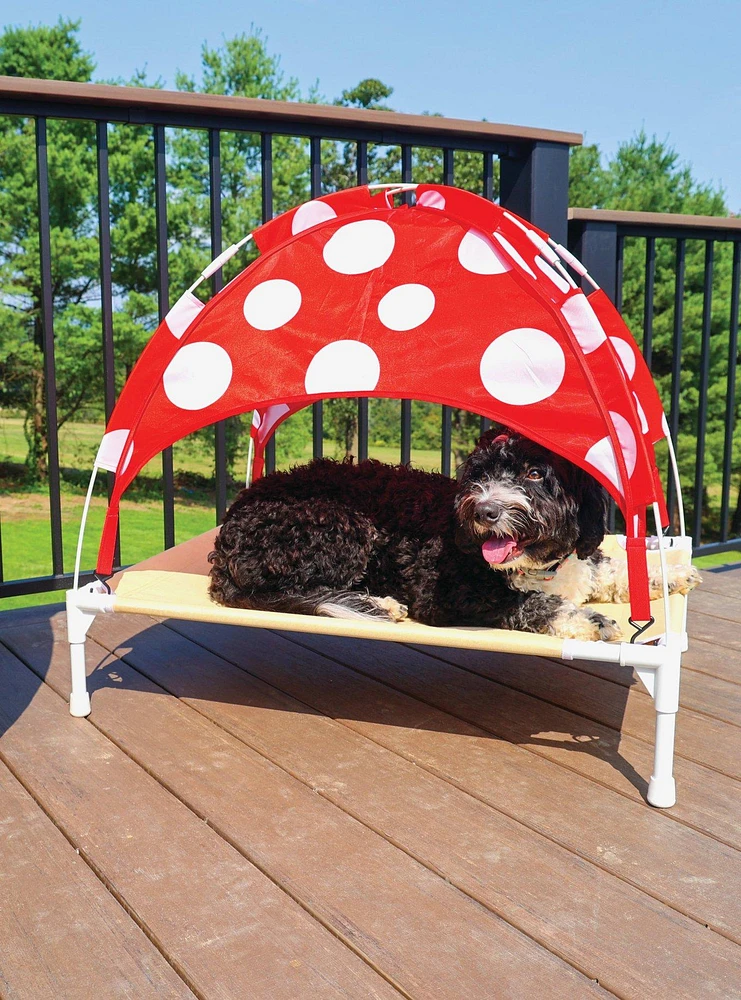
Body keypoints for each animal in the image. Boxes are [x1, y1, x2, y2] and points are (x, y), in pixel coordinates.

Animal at [208, 424, 624, 640]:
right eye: (480, 474)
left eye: (536, 473)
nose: (484, 510)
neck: (540, 567)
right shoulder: (448, 595)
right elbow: (529, 603)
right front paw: (590, 620)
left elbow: (605, 567)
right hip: (340, 528)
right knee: (291, 592)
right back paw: (379, 603)